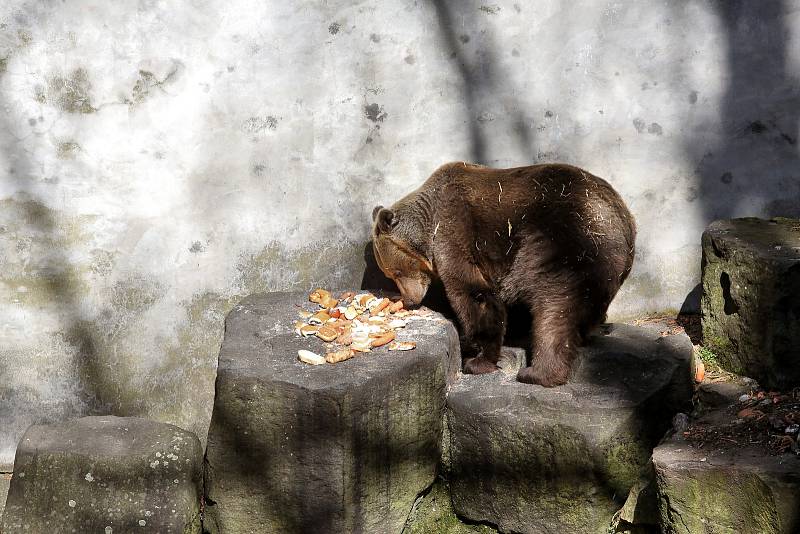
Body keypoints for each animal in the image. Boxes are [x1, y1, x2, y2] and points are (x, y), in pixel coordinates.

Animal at [370, 161, 636, 388]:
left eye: (395, 272)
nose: (409, 300)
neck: (429, 220)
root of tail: (621, 216)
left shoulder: (454, 225)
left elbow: (471, 291)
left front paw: (478, 359)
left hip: (562, 239)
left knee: (555, 306)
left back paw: (539, 373)